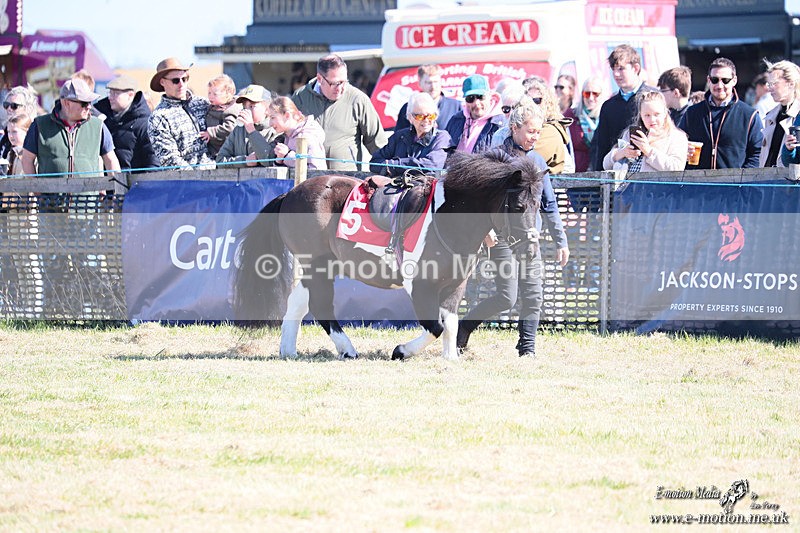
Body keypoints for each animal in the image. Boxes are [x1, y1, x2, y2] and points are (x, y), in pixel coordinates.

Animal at [233, 149, 545, 360]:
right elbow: (435, 327)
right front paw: (401, 350)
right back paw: (347, 349)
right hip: (318, 266)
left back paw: (288, 350)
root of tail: (290, 194)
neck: (446, 217)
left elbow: (451, 323)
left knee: (298, 304)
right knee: (321, 307)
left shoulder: (456, 285)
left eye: (538, 204)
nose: (530, 250)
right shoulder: (420, 287)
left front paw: (450, 357)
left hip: (318, 268)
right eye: (518, 206)